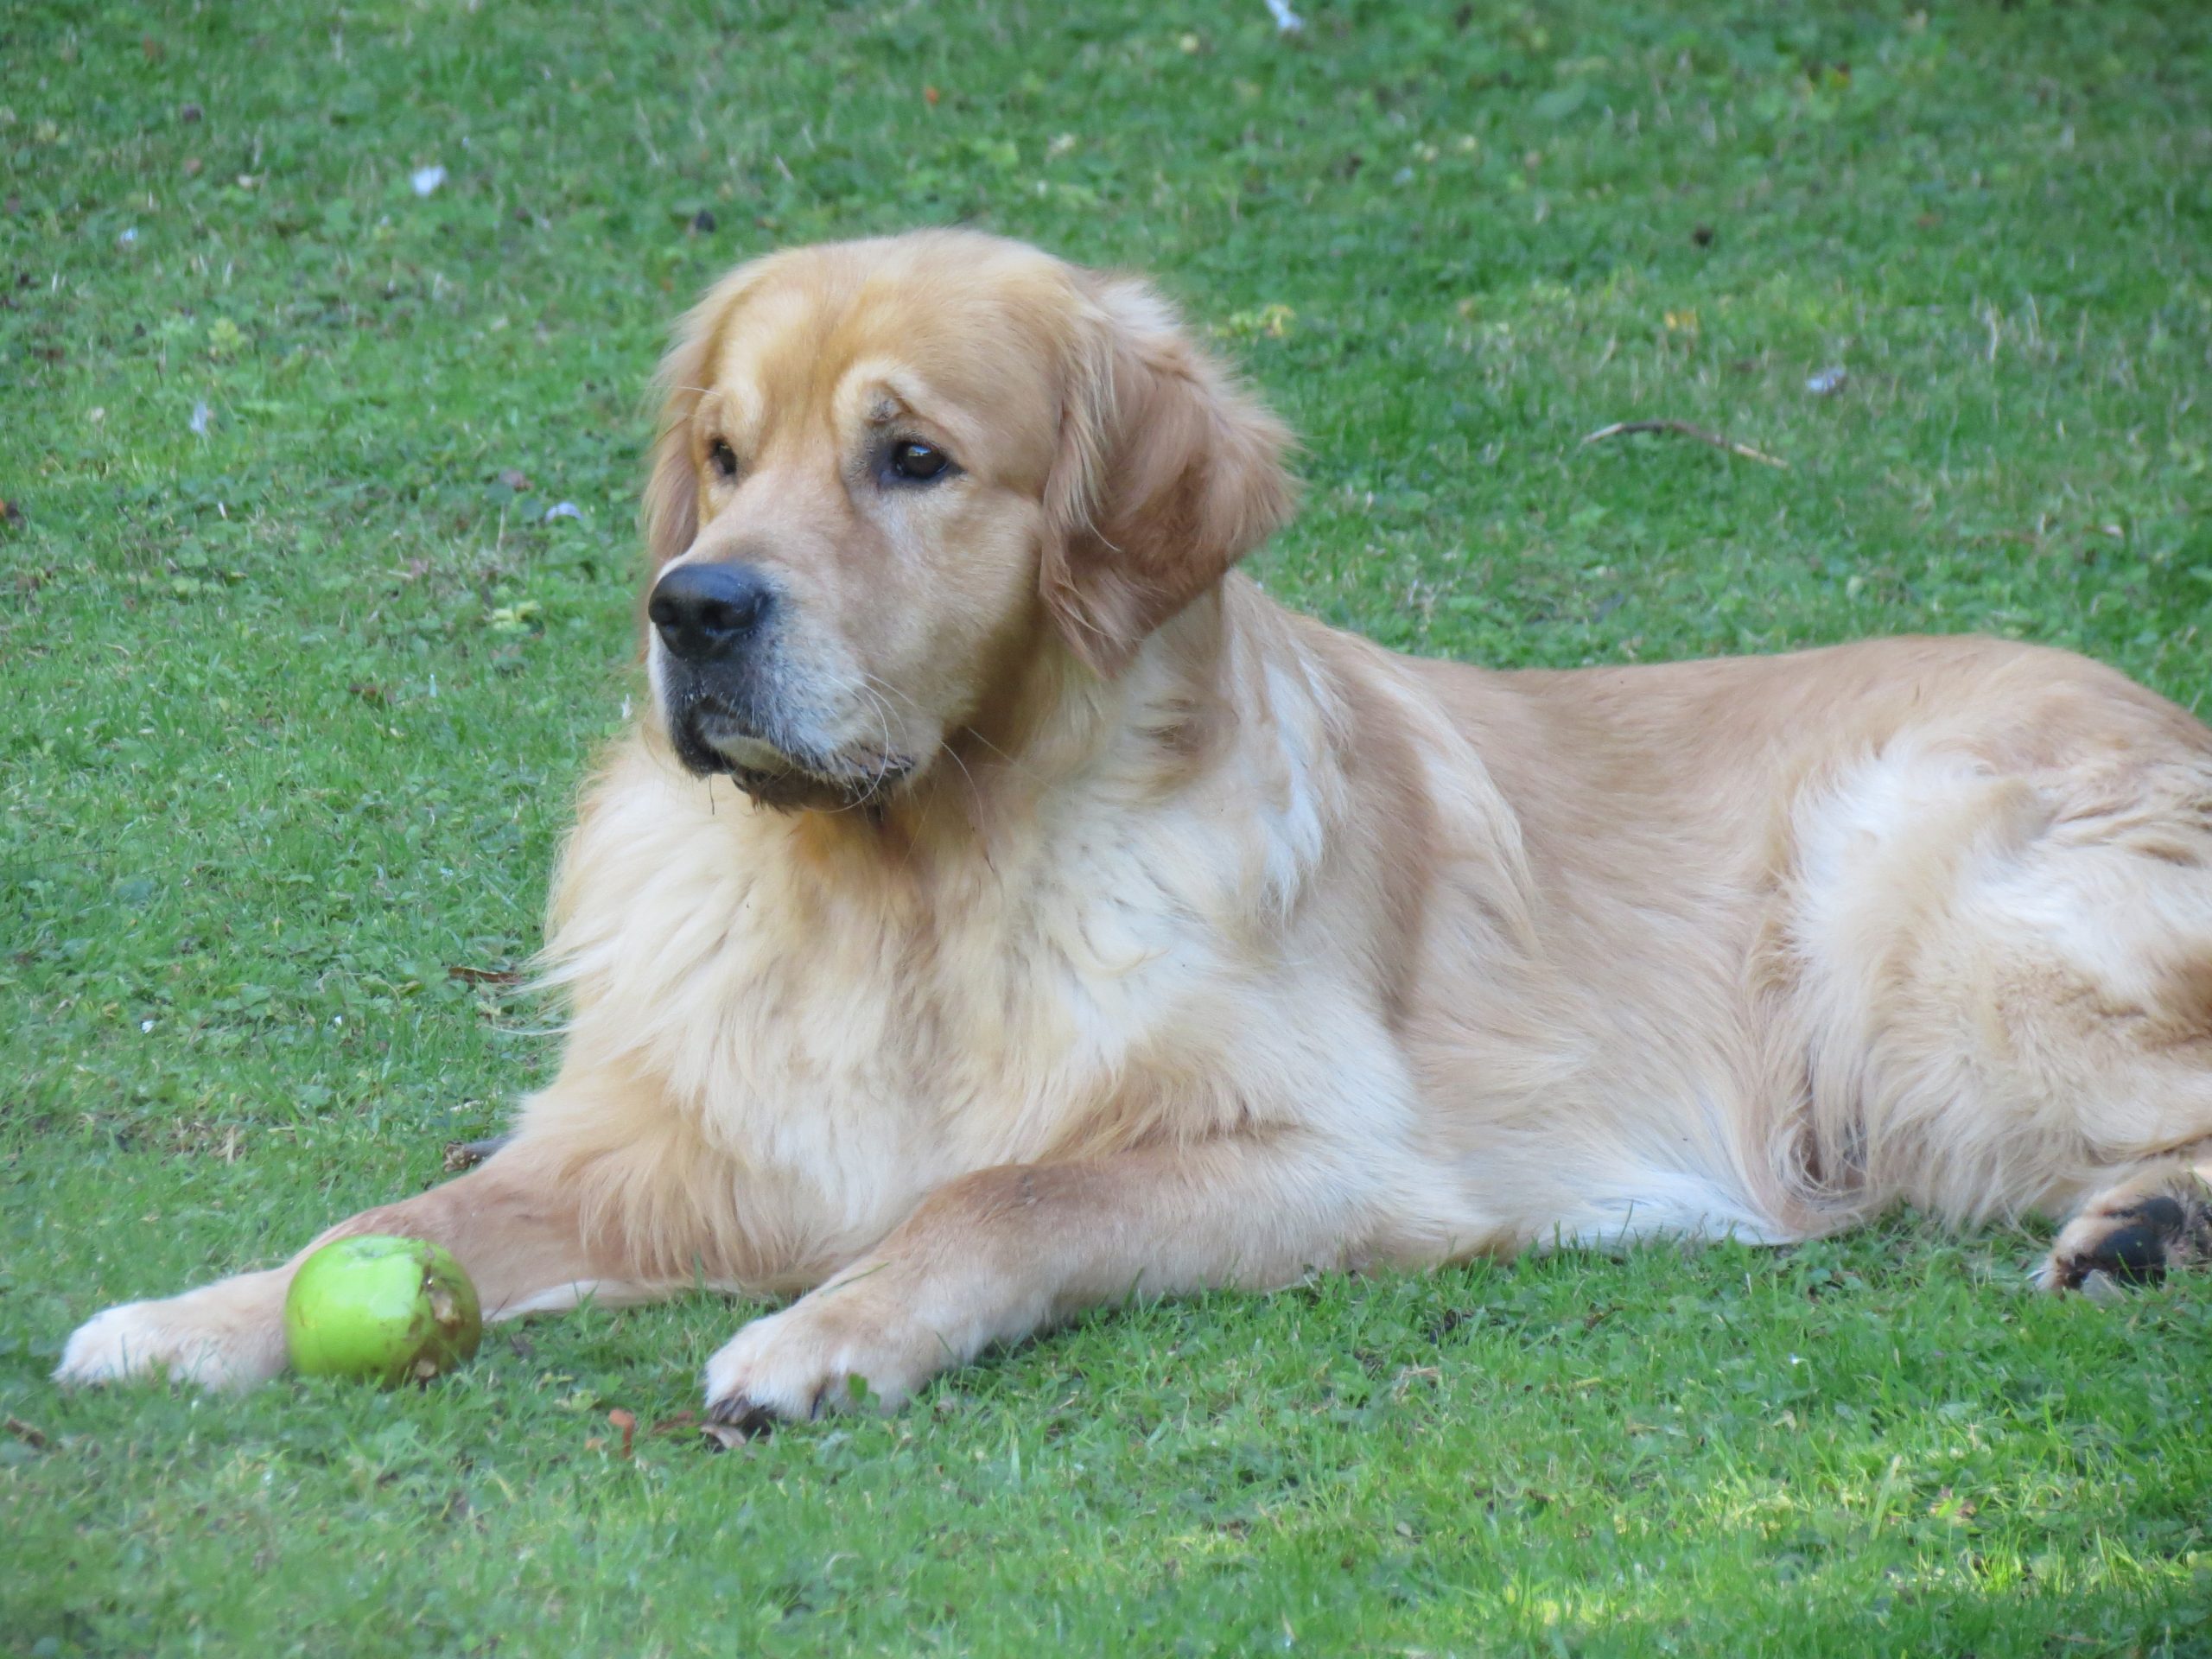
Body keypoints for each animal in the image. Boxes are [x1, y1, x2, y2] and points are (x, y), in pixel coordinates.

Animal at [55, 227, 2212, 1433]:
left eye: (910, 459)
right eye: (724, 459)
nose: (694, 608)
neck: (913, 883)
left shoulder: (1325, 1155)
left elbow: (1001, 1195)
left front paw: (823, 1339)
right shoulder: (675, 1148)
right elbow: (401, 1224)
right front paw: (196, 1318)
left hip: (1912, 911)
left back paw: (2141, 1223)